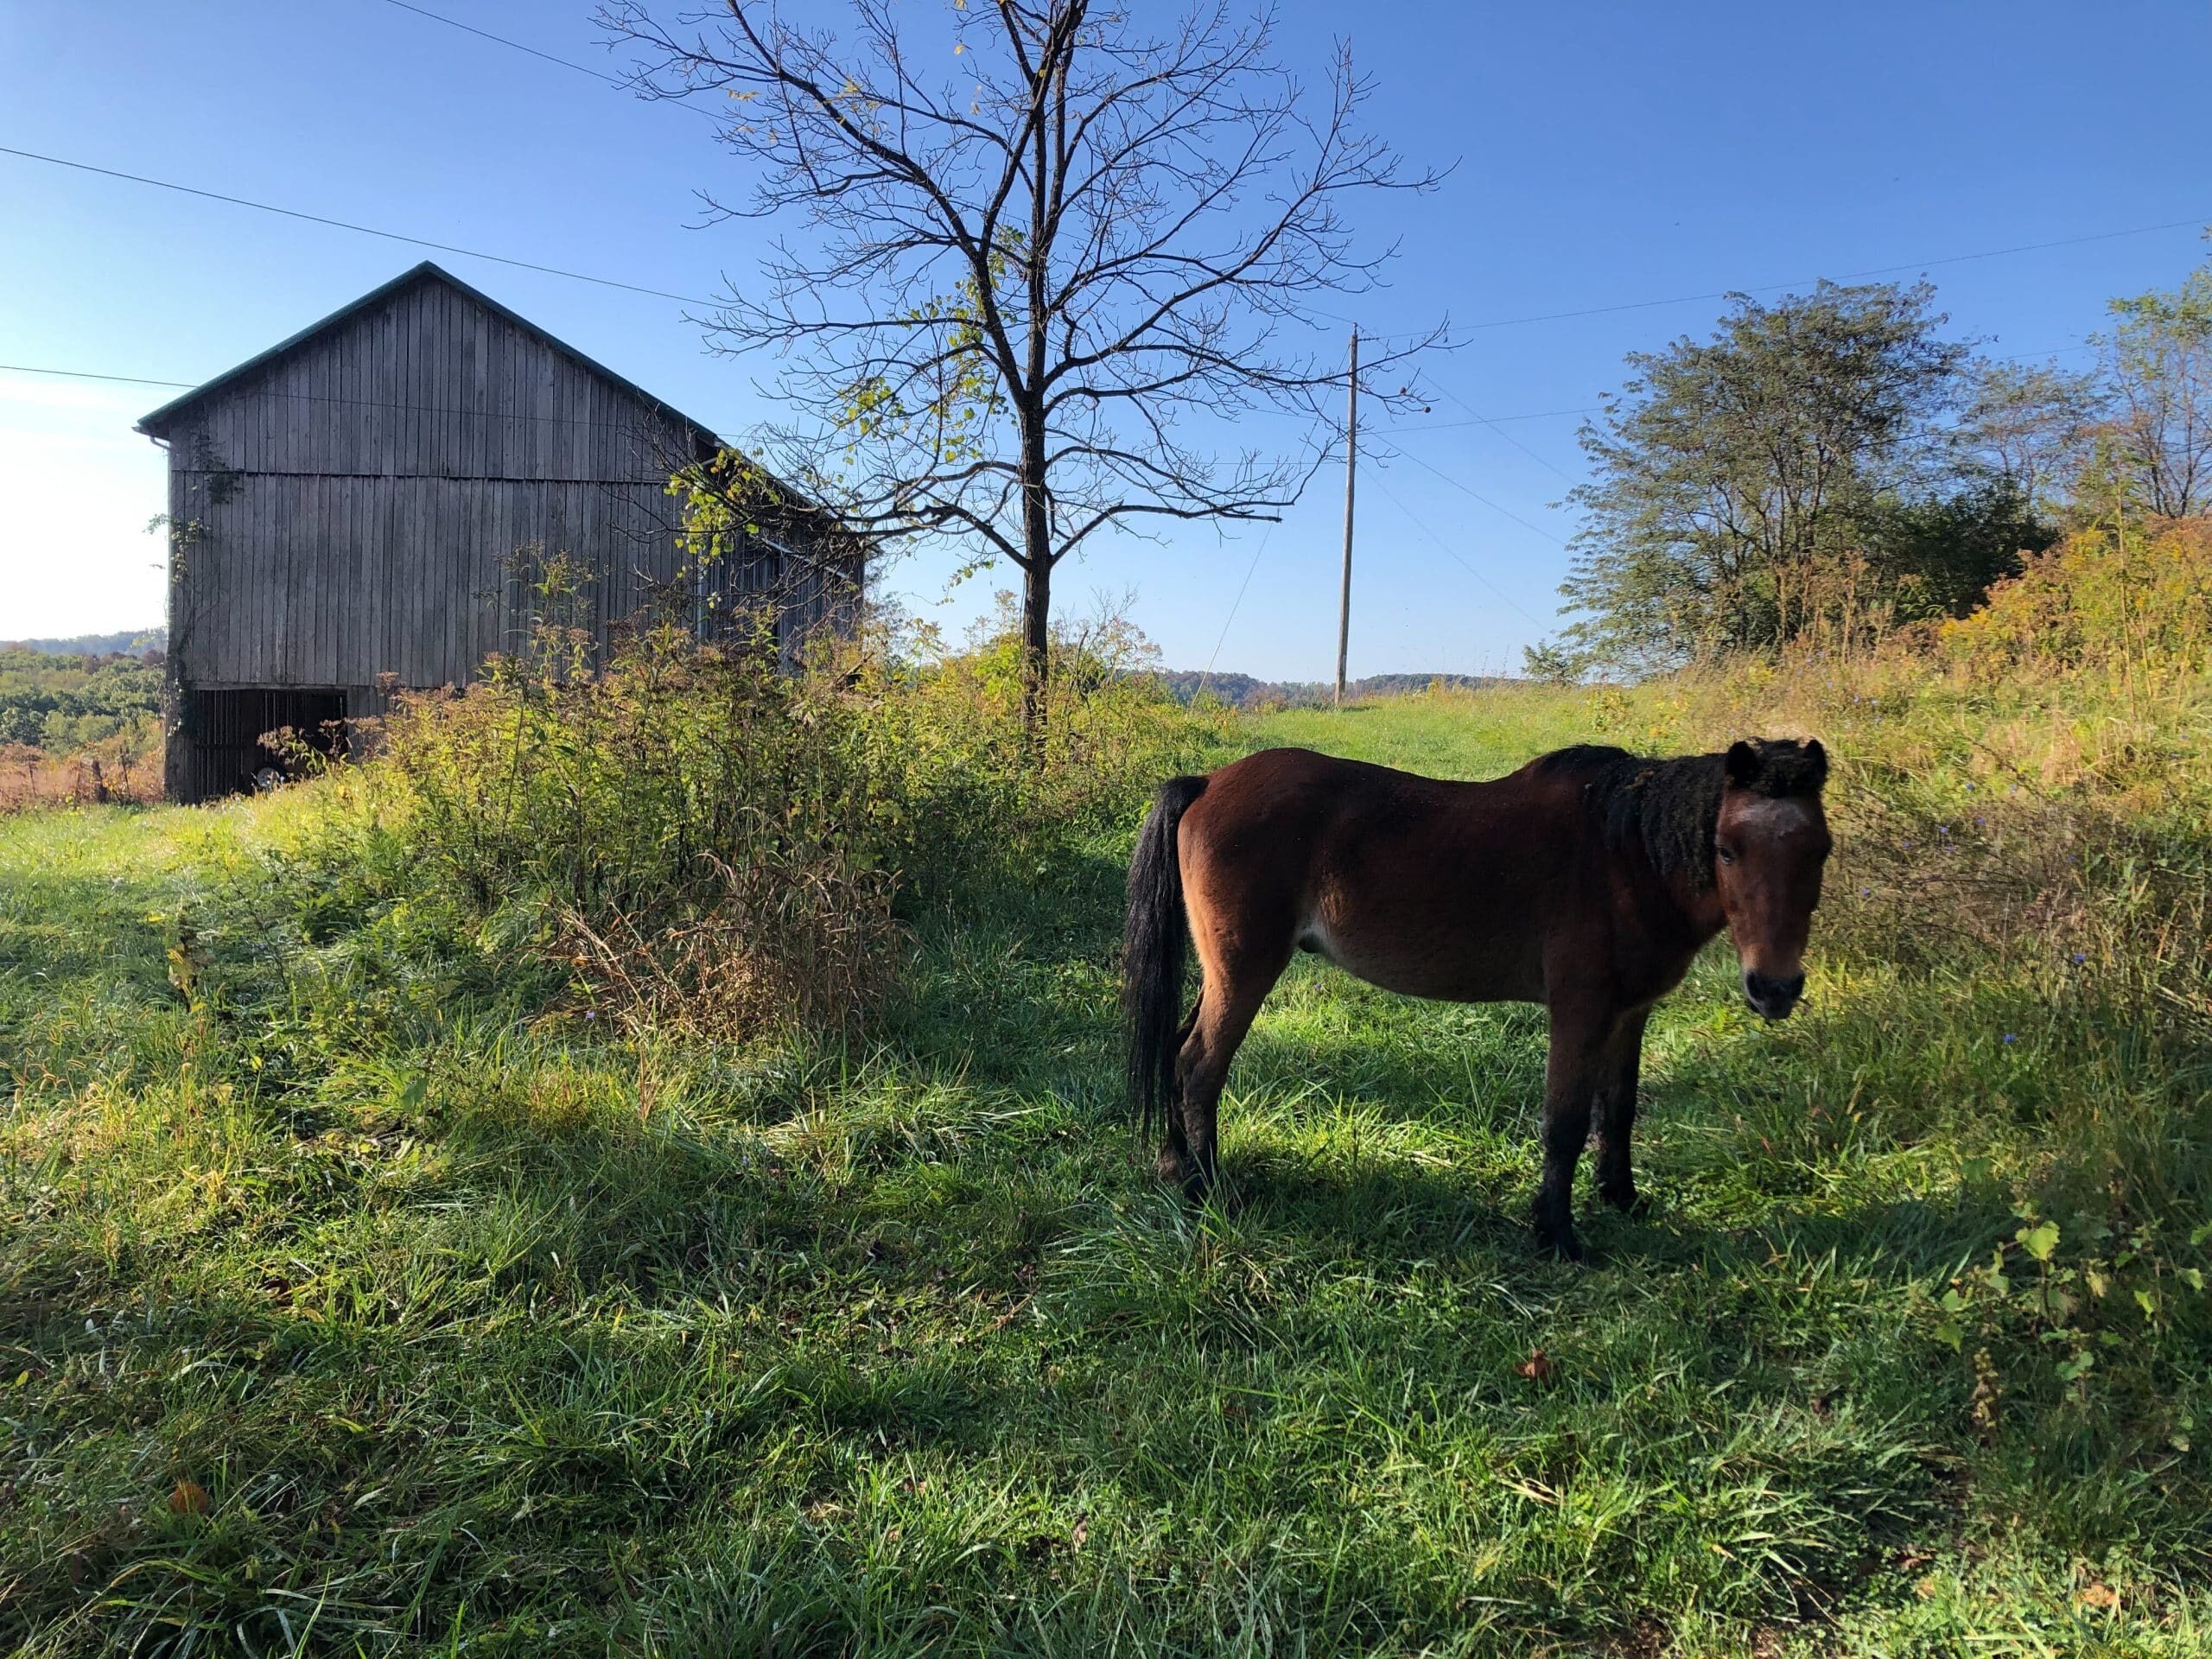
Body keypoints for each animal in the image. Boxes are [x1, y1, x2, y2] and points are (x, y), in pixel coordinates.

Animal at [1122, 737, 1832, 1259]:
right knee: (1199, 1066)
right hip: (1245, 971)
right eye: (1726, 850)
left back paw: (1175, 1163)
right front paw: (1557, 1234)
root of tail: (1209, 782)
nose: (1775, 988)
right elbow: (1565, 1121)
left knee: (1177, 1051)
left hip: (1222, 974)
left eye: (1820, 850)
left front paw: (1622, 1197)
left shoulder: (1629, 1014)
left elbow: (1620, 1109)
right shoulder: (1580, 1011)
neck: (1625, 856)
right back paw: (1207, 1189)